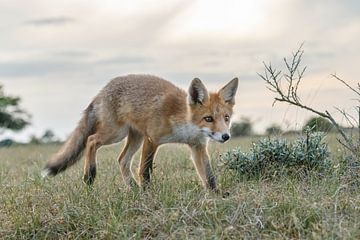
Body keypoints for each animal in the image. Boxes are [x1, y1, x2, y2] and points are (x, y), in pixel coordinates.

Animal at [41, 74, 239, 190]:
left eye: (226, 118)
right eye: (208, 119)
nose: (226, 136)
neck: (185, 126)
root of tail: (102, 91)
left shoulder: (197, 146)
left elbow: (209, 177)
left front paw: (216, 197)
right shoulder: (152, 139)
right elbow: (145, 170)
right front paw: (147, 193)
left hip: (135, 137)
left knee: (122, 160)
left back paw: (132, 188)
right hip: (116, 133)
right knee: (91, 140)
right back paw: (90, 175)